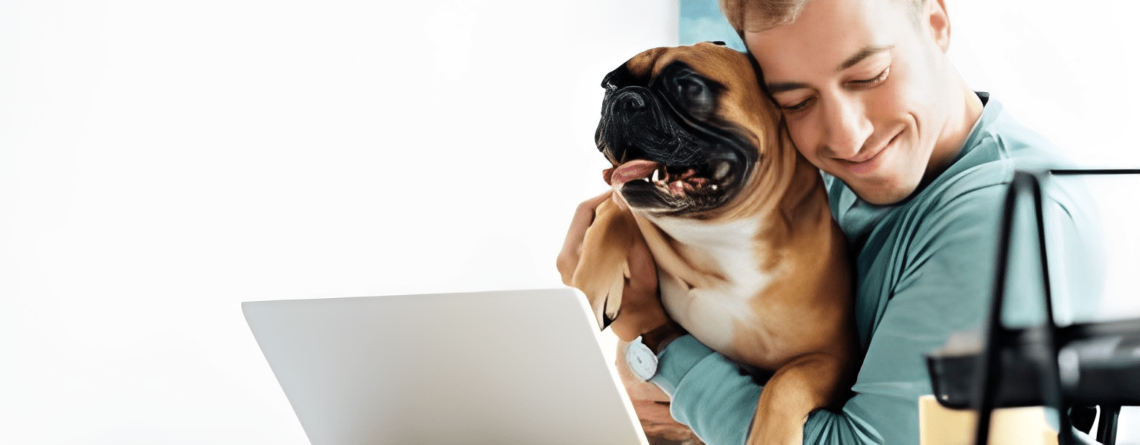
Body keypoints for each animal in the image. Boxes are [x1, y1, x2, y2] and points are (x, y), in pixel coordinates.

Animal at [570, 42, 857, 445]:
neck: (724, 233)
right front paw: (591, 285)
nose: (623, 99)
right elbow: (614, 211)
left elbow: (787, 383)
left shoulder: (831, 358)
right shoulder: (623, 203)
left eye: (690, 87)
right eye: (609, 85)